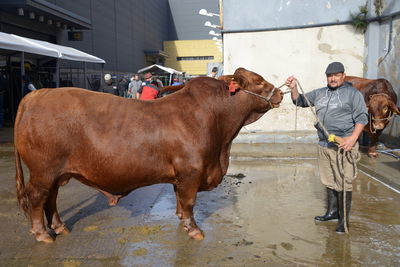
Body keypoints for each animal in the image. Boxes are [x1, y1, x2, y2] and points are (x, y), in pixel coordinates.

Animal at [14, 67, 282, 243]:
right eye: (259, 81)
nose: (279, 93)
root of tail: (37, 94)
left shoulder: (181, 175)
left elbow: (180, 201)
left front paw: (181, 220)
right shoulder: (191, 172)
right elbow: (189, 202)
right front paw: (194, 230)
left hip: (55, 173)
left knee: (51, 199)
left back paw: (59, 228)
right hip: (43, 171)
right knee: (37, 197)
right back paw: (42, 234)